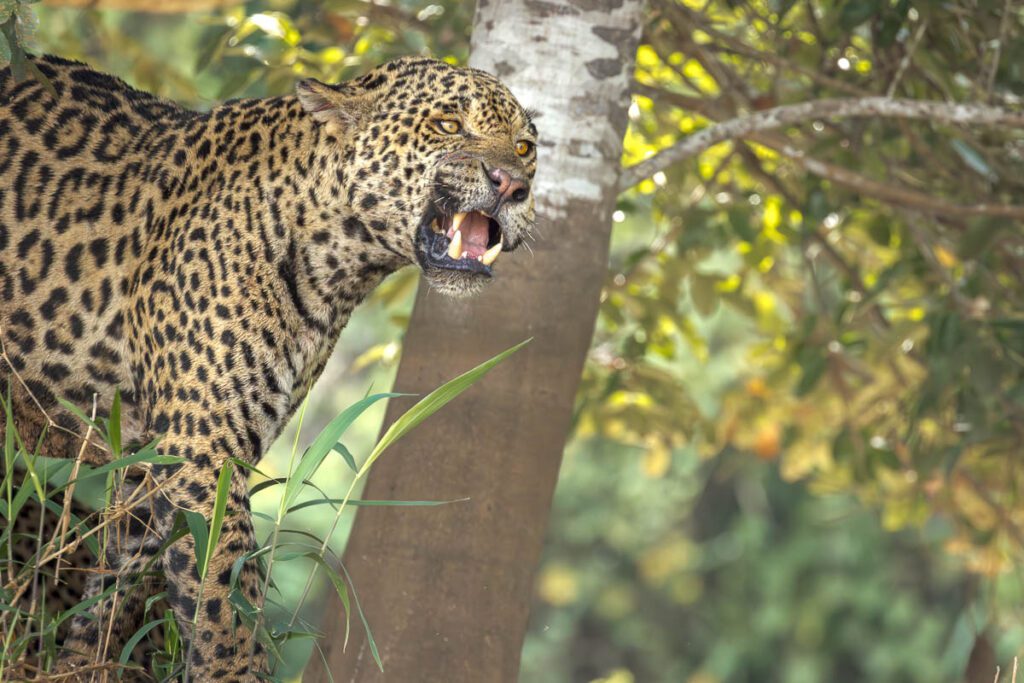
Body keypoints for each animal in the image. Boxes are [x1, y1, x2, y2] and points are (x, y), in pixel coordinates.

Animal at [0, 52, 537, 681]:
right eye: (448, 125)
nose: (514, 185)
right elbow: (224, 606)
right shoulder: (201, 452)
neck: (336, 263)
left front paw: (79, 666)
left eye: (525, 147)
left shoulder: (149, 459)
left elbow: (112, 599)